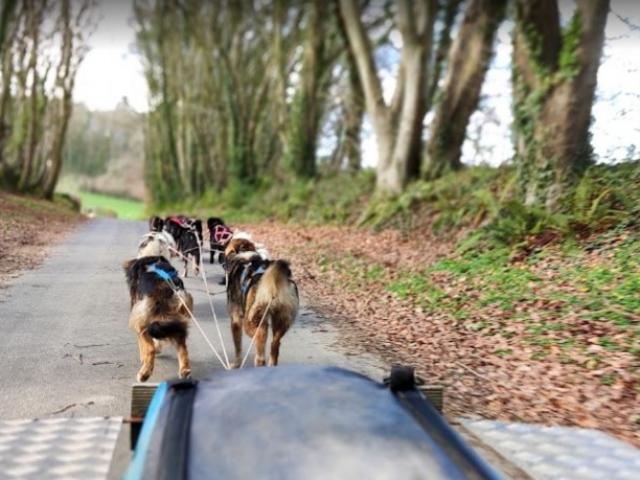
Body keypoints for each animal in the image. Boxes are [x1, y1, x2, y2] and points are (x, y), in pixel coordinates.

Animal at [225, 237, 298, 368]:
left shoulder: (236, 320)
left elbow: (237, 347)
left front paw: (236, 364)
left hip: (251, 320)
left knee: (260, 336)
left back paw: (259, 361)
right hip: (281, 319)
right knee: (275, 344)